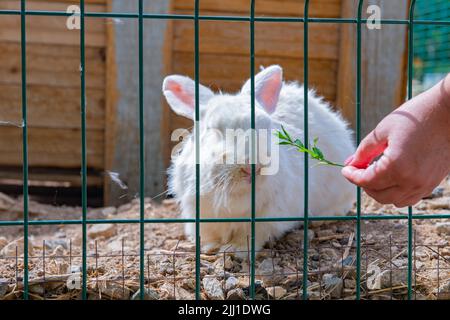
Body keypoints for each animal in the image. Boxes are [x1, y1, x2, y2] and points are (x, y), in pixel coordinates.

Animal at [162, 65, 356, 258]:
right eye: (213, 129)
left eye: (265, 125)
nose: (252, 166)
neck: (237, 194)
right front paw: (210, 247)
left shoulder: (266, 218)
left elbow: (250, 236)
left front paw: (234, 250)